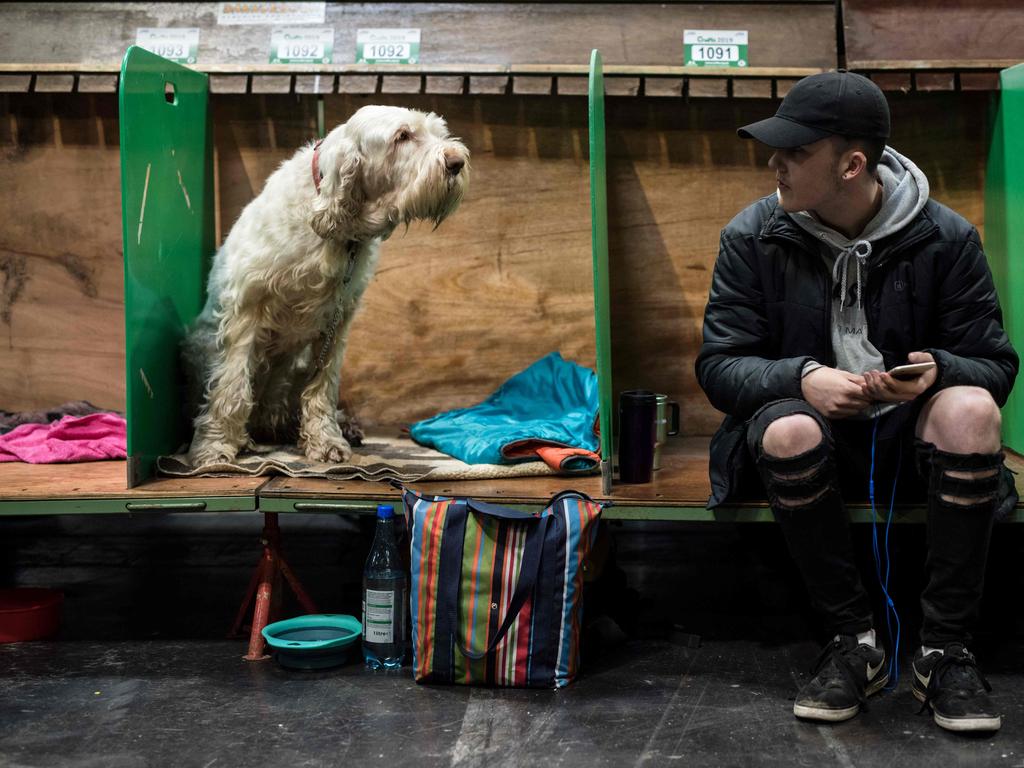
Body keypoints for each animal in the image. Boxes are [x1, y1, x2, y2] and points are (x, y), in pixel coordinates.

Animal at [185, 105, 471, 466]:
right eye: (402, 136)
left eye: (439, 132)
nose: (457, 162)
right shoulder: (246, 309)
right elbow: (231, 385)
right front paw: (215, 446)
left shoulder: (336, 321)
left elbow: (323, 385)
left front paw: (325, 440)